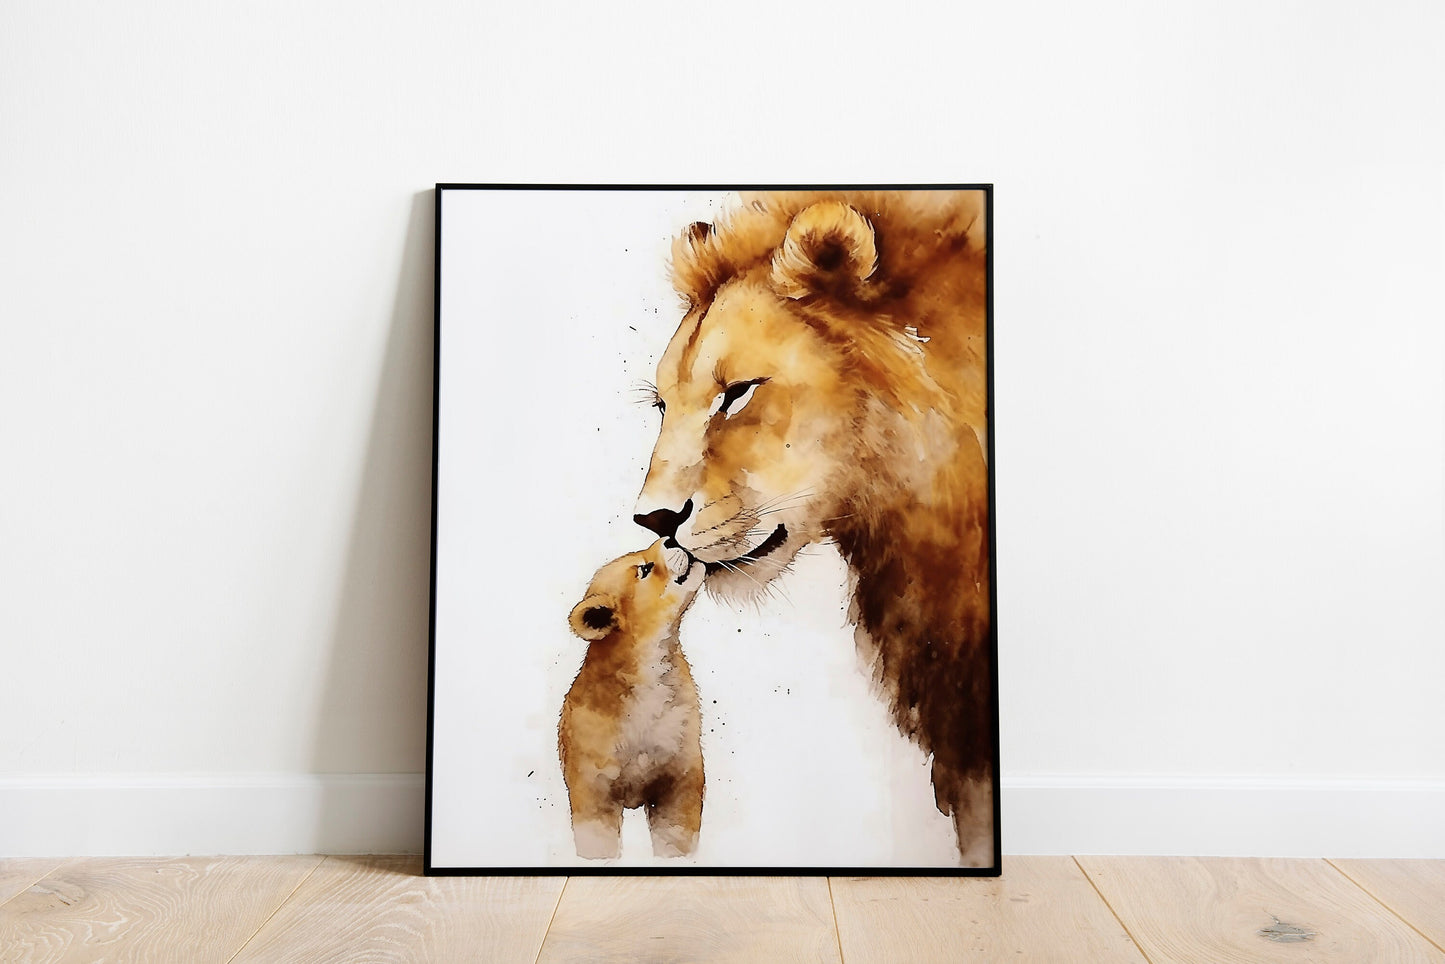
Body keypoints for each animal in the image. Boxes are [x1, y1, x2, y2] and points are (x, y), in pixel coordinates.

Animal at [560, 539, 707, 859]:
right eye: (645, 569)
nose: (671, 538)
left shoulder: (680, 780)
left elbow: (676, 842)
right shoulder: (593, 791)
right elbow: (597, 845)